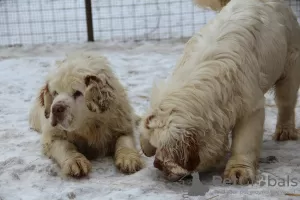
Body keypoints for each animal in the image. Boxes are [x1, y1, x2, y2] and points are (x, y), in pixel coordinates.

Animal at [139, 0, 300, 184]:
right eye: (156, 146)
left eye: (169, 151)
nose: (157, 164)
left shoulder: (250, 107)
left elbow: (244, 142)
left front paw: (238, 172)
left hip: (290, 68)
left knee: (286, 102)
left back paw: (285, 131)